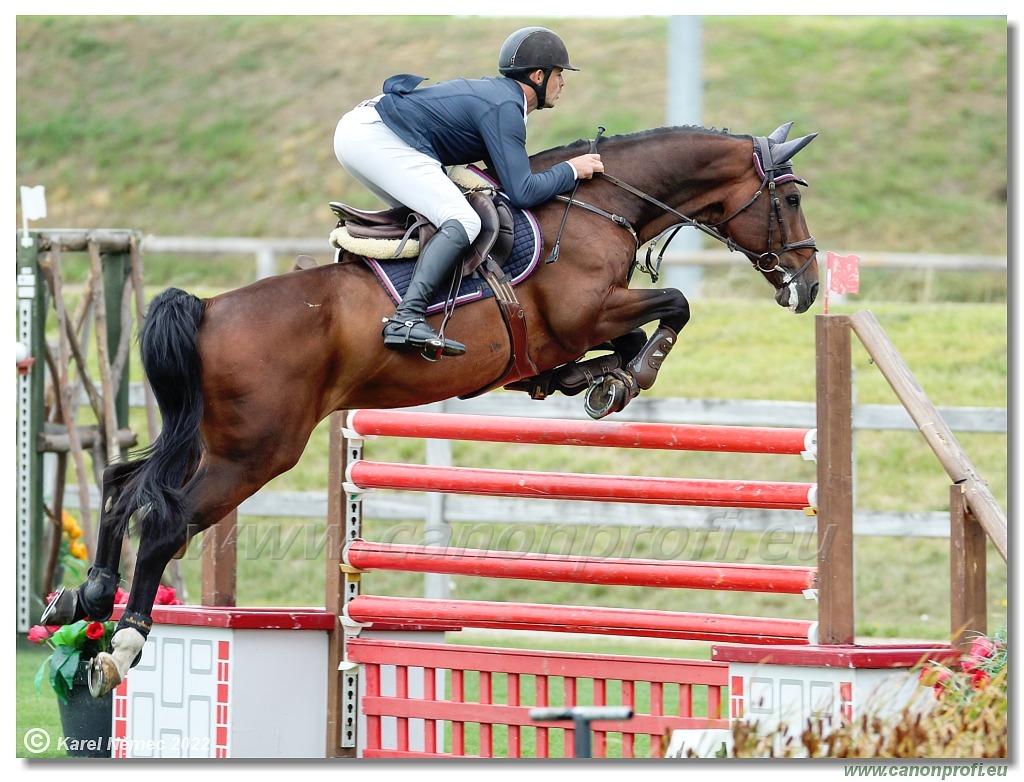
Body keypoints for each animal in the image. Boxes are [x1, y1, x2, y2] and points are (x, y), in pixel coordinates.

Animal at [44, 120, 819, 696]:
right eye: (789, 200)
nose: (808, 286)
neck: (599, 205)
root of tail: (207, 309)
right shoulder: (587, 312)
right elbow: (676, 304)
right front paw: (627, 378)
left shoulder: (584, 325)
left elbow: (628, 337)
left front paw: (595, 382)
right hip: (254, 453)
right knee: (167, 519)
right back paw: (126, 639)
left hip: (207, 440)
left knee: (123, 485)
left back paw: (86, 598)